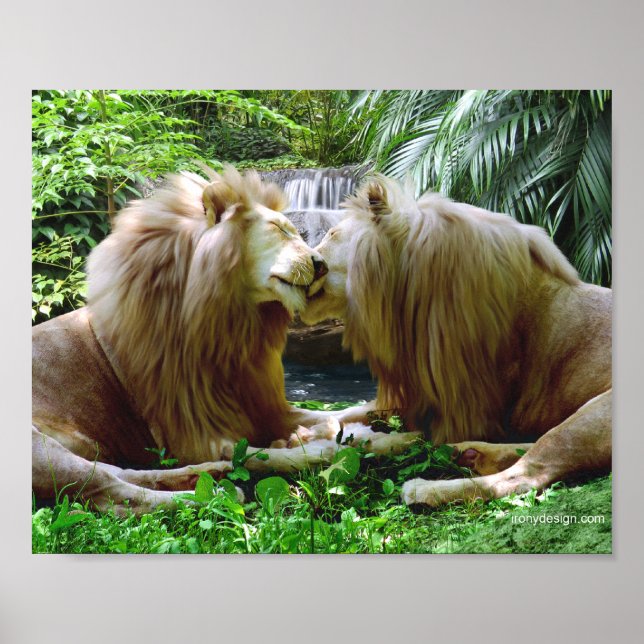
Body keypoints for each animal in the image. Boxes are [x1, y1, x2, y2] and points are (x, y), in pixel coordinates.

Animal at [33, 166, 404, 516]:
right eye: (279, 229)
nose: (321, 264)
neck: (231, 327)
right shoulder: (192, 436)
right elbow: (262, 456)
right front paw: (316, 446)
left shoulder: (259, 405)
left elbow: (342, 413)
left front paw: (387, 427)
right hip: (41, 450)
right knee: (114, 494)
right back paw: (216, 494)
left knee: (121, 473)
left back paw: (209, 474)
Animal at [301, 176, 612, 508]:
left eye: (332, 234)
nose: (307, 259)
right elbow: (346, 410)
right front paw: (307, 426)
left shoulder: (467, 403)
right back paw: (469, 452)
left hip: (594, 412)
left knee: (526, 474)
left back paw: (425, 488)